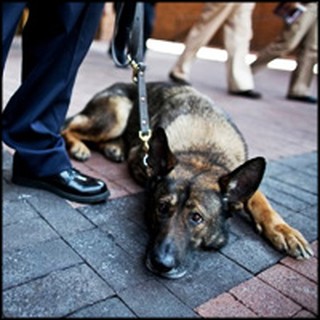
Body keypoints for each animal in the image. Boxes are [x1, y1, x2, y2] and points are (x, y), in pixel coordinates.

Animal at [62, 81, 312, 278]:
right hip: (117, 114)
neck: (203, 152)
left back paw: (113, 147)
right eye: (162, 207)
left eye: (196, 218)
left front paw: (284, 231)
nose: (160, 264)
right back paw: (80, 147)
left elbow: (261, 201)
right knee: (66, 129)